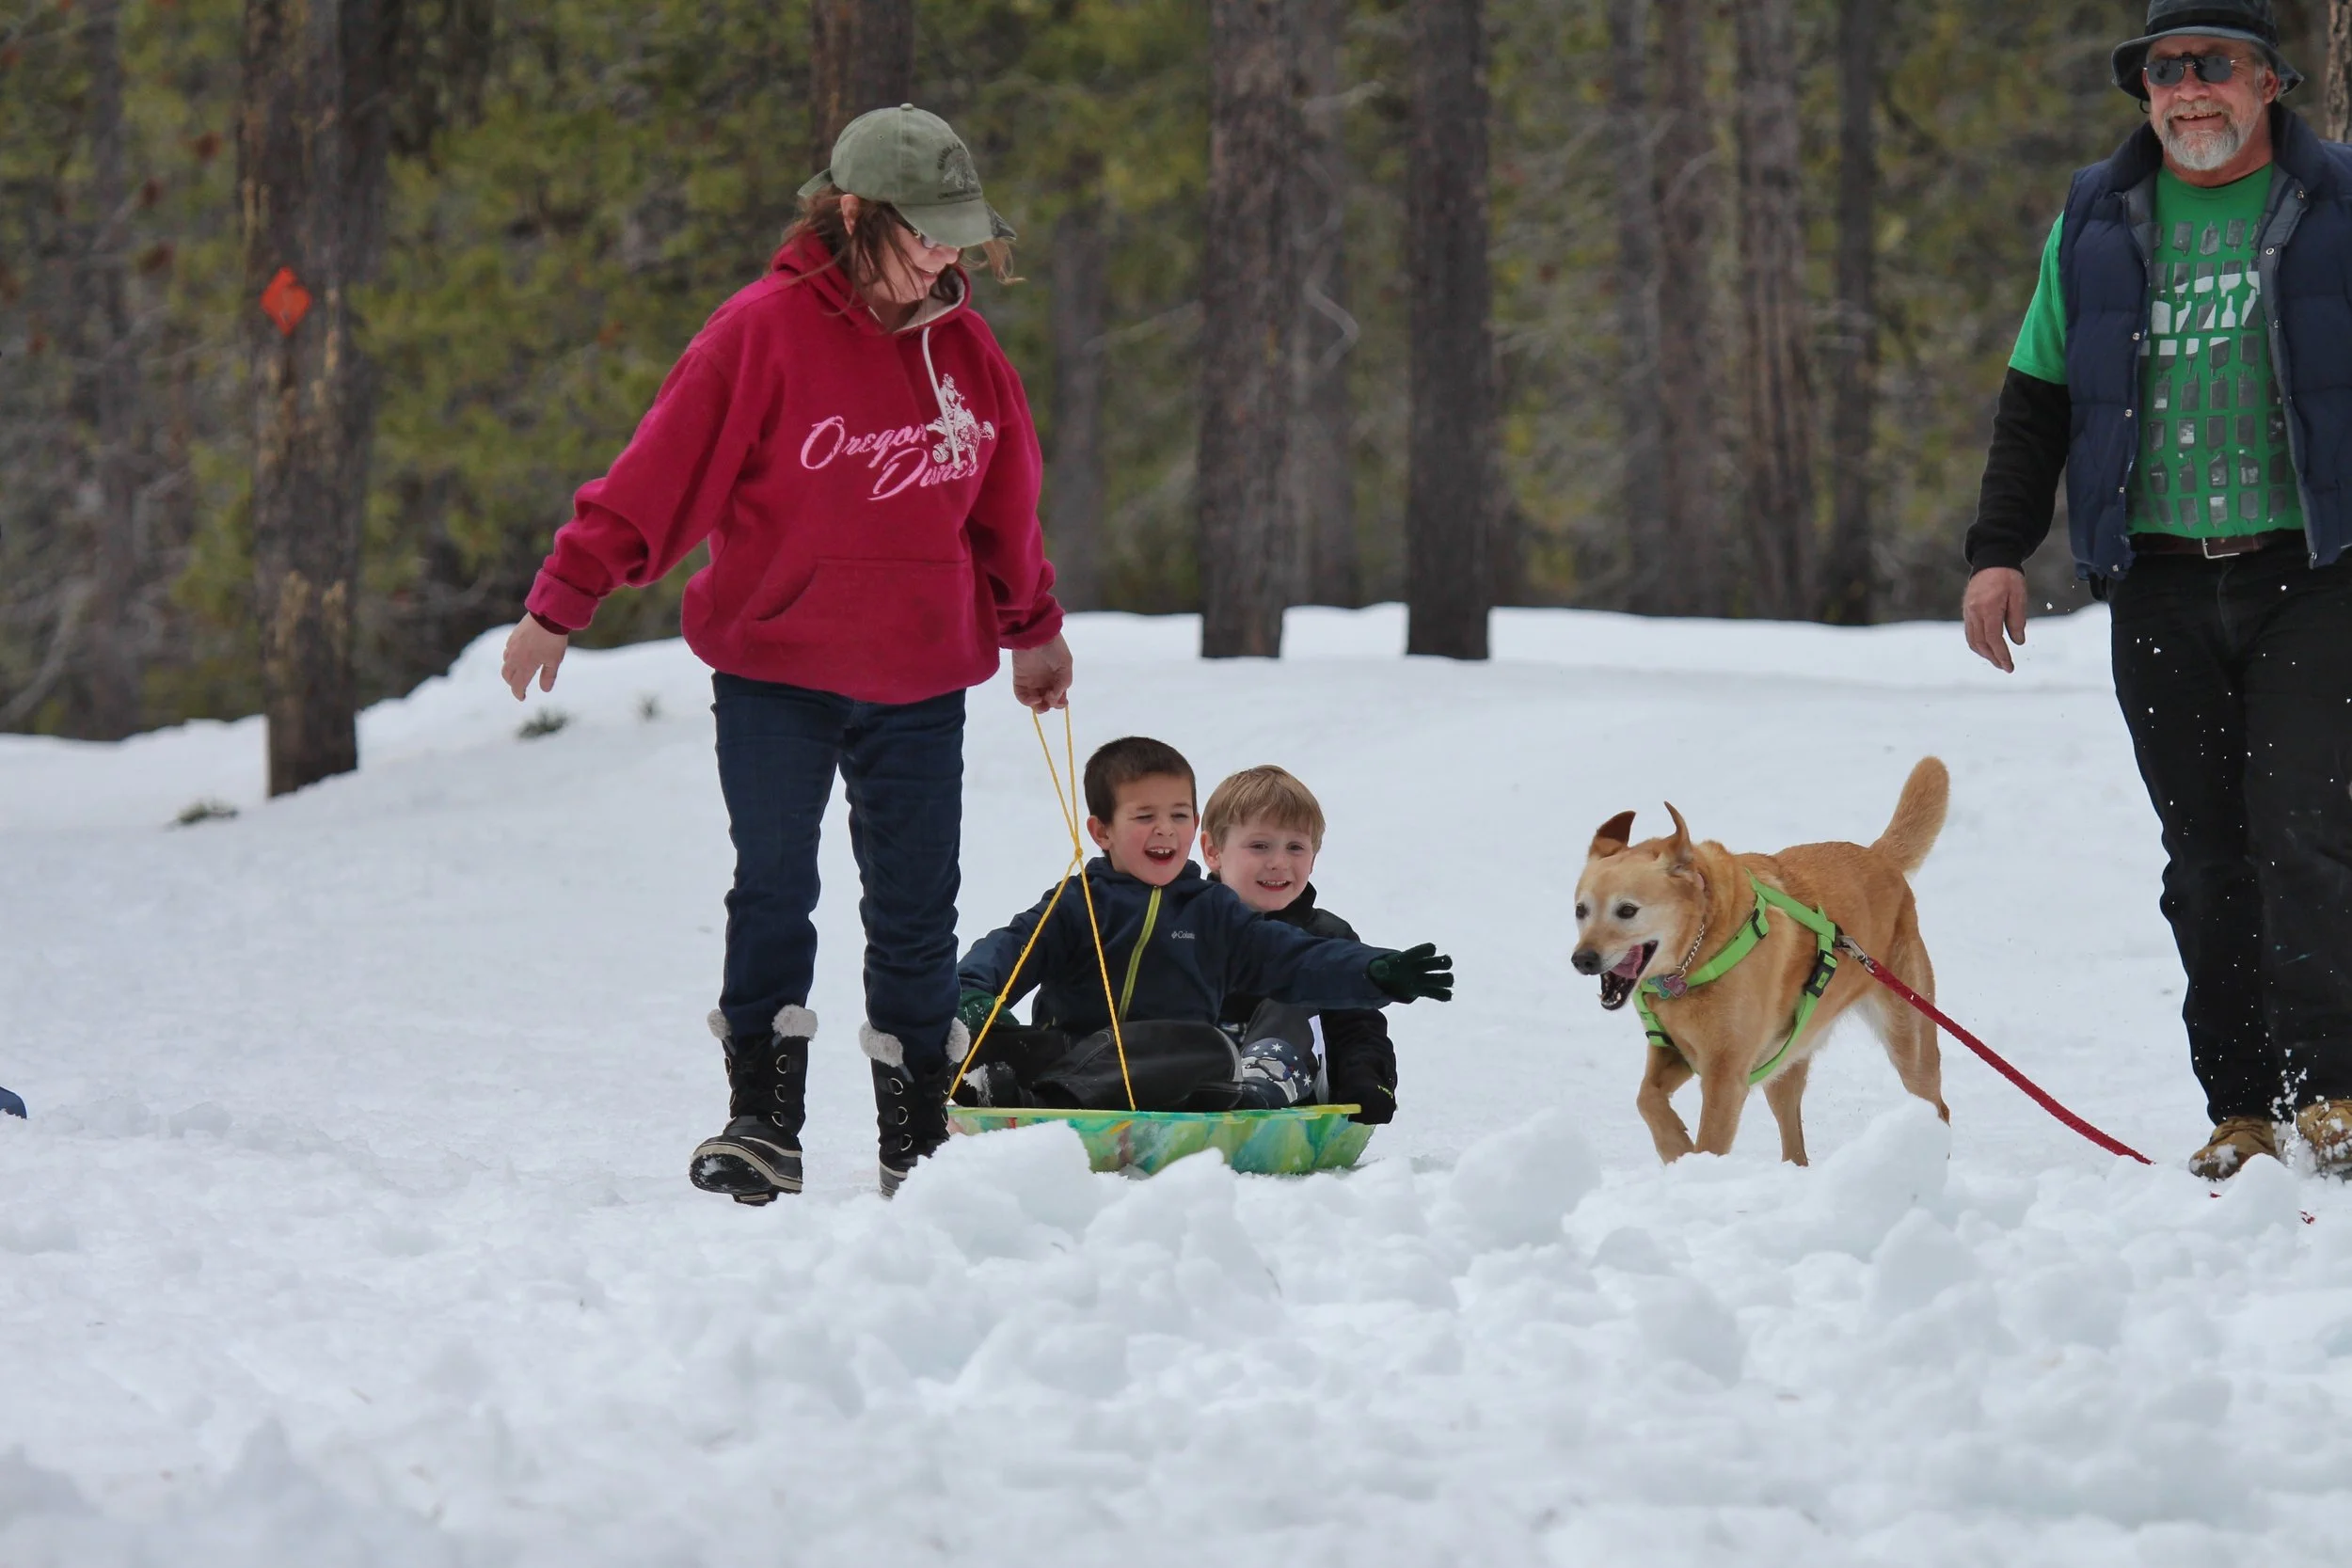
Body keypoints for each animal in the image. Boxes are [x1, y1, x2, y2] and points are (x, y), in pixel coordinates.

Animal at [1571, 758, 1951, 1165]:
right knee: (1794, 1144)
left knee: (1936, 1105)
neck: (1697, 955)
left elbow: (1710, 1141)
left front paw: (1698, 1164)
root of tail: (1880, 857)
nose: (1582, 959)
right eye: (1581, 910)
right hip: (1784, 1064)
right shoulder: (1674, 1053)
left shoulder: (1726, 1074)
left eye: (1627, 910)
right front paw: (1676, 1149)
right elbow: (1647, 1098)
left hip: (1908, 1037)